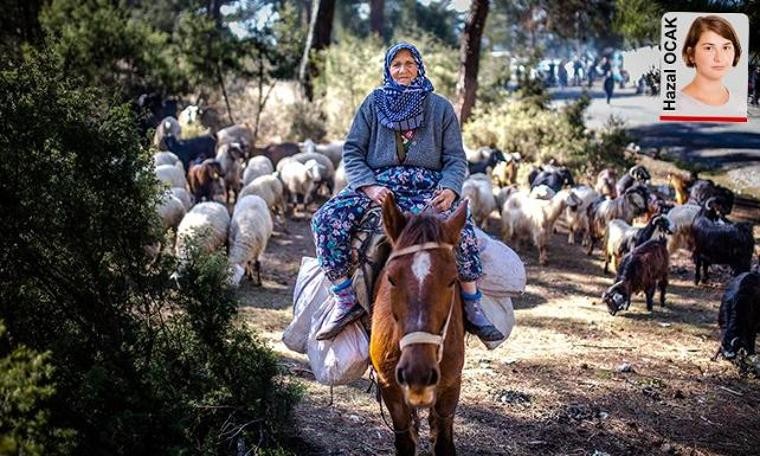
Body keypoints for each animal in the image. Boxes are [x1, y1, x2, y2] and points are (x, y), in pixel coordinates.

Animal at [370, 194, 470, 454]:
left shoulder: (452, 384)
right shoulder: (390, 388)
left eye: (452, 280)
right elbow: (405, 441)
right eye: (391, 278)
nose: (418, 373)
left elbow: (444, 441)